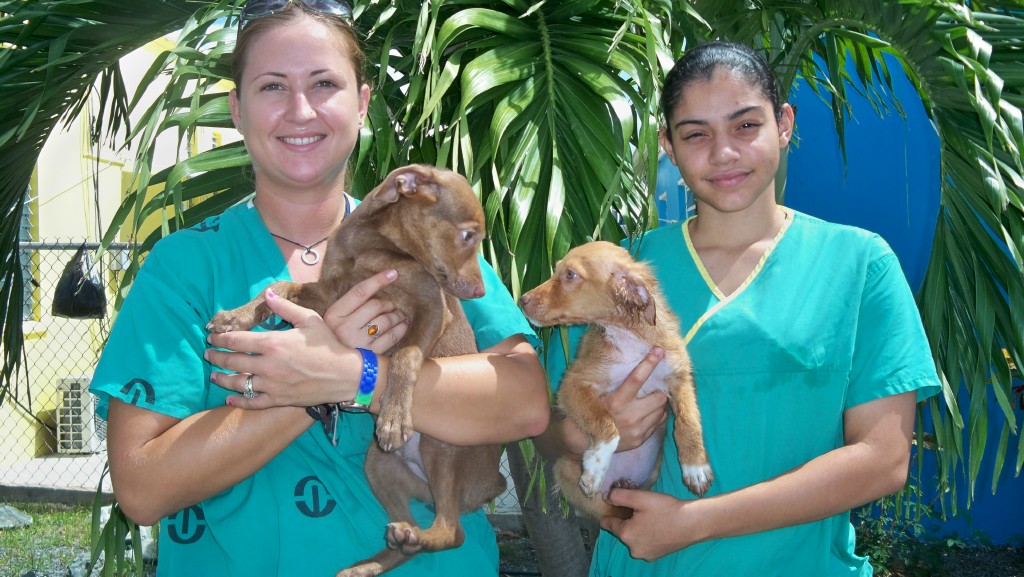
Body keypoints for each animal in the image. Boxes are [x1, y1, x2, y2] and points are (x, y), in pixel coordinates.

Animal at [206, 165, 507, 573]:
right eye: (467, 235)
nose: (480, 292)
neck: (377, 246)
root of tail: (492, 483)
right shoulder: (330, 292)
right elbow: (279, 285)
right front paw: (235, 317)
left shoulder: (432, 310)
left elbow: (405, 356)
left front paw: (394, 415)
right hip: (379, 465)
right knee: (411, 537)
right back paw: (384, 553)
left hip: (444, 449)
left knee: (451, 531)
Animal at [520, 241, 712, 520]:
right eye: (556, 269)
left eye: (570, 275)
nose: (521, 300)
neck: (628, 336)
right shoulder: (573, 385)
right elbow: (606, 422)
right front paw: (595, 468)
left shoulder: (679, 378)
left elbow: (689, 420)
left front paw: (695, 467)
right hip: (564, 467)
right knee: (611, 511)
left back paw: (625, 486)